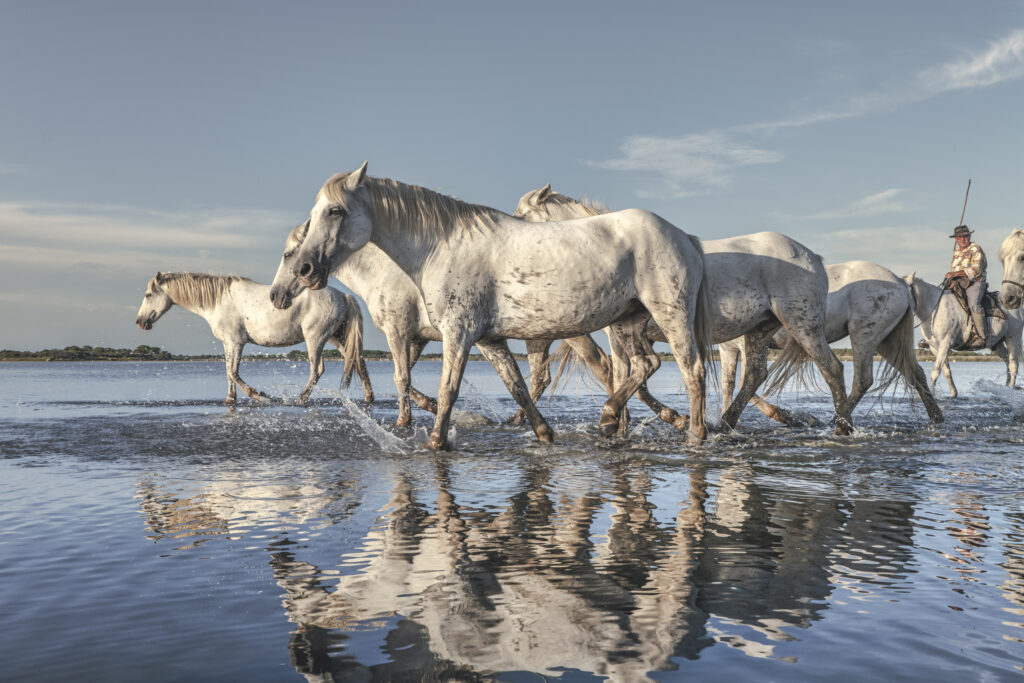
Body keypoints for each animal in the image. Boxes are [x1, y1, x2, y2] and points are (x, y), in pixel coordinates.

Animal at [134, 270, 374, 403]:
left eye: (148, 294)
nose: (140, 322)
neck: (218, 300)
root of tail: (344, 296)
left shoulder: (237, 342)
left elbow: (234, 372)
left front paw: (258, 394)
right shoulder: (227, 344)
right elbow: (228, 372)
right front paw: (230, 399)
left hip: (315, 339)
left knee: (317, 370)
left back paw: (300, 399)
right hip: (336, 338)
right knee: (357, 361)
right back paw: (369, 397)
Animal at [270, 162, 712, 450]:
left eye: (335, 210)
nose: (304, 272)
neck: (439, 247)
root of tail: (683, 236)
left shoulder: (454, 334)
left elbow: (442, 388)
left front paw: (434, 441)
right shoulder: (488, 340)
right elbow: (516, 388)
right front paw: (543, 434)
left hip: (668, 317)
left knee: (691, 371)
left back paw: (694, 433)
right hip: (628, 322)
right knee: (642, 366)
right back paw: (612, 418)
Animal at [516, 184, 851, 436]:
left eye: (521, 215)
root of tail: (813, 258)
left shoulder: (620, 334)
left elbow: (628, 378)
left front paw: (642, 421)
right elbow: (630, 378)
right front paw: (629, 424)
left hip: (802, 325)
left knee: (832, 369)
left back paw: (841, 428)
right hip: (759, 330)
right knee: (755, 374)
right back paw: (728, 423)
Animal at [720, 260, 942, 421]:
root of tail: (901, 283)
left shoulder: (746, 346)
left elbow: (745, 382)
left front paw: (785, 416)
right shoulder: (728, 349)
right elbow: (728, 385)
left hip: (864, 338)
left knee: (862, 381)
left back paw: (837, 421)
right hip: (888, 342)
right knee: (916, 375)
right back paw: (936, 418)